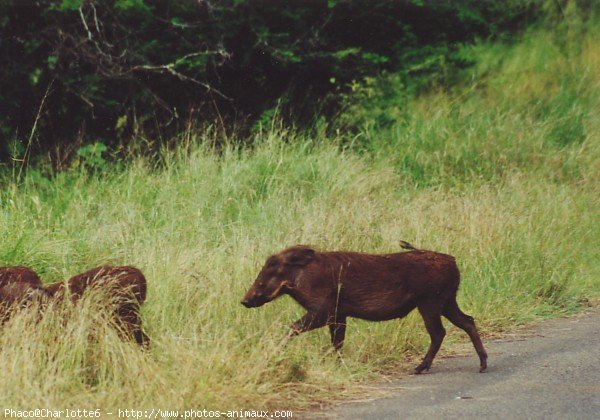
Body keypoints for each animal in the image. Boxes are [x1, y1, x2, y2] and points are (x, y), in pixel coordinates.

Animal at [243, 243, 488, 374]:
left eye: (273, 265)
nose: (244, 301)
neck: (302, 276)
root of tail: (452, 261)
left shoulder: (323, 311)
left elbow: (293, 327)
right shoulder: (339, 316)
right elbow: (337, 342)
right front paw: (337, 365)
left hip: (430, 303)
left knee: (439, 332)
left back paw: (420, 368)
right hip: (446, 302)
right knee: (468, 321)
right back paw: (482, 365)